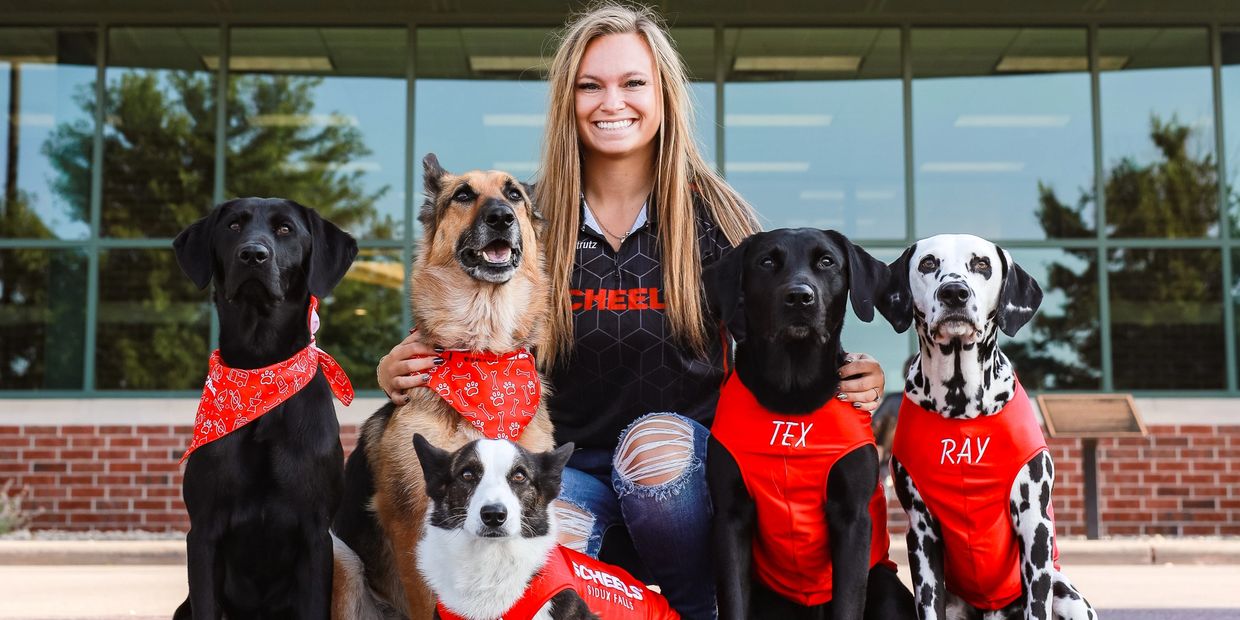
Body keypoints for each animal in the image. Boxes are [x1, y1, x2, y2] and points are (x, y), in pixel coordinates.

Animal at [171, 197, 358, 619]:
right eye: (233, 226)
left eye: (285, 229)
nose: (253, 255)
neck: (262, 372)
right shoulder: (203, 533)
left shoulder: (315, 535)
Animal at [331, 154, 556, 619]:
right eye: (464, 195)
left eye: (513, 194)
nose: (501, 217)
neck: (483, 356)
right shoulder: (412, 522)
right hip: (339, 556)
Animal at [702, 228, 916, 620]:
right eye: (767, 261)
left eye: (827, 261)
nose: (800, 297)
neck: (792, 398)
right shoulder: (730, 516)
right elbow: (734, 601)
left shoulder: (852, 517)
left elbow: (847, 602)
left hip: (886, 589)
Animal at [876, 234, 1096, 620]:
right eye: (928, 263)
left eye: (981, 264)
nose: (954, 293)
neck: (962, 413)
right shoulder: (921, 531)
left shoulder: (1035, 527)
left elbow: (1037, 605)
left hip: (1068, 596)